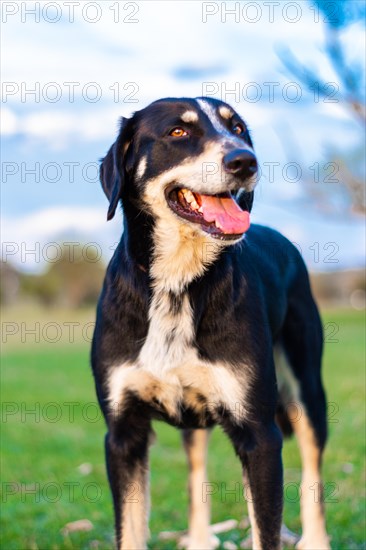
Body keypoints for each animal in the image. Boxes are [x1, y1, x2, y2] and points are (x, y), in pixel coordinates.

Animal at [91, 99, 328, 550]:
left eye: (237, 129)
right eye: (178, 132)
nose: (245, 161)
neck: (177, 283)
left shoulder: (260, 435)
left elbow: (266, 529)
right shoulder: (123, 435)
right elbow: (130, 530)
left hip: (308, 390)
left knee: (313, 472)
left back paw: (316, 540)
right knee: (196, 472)